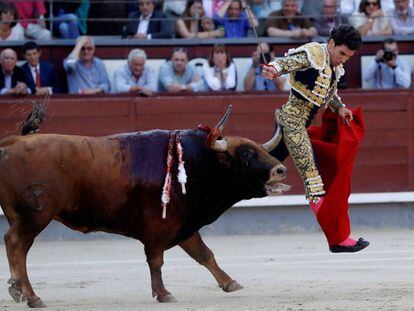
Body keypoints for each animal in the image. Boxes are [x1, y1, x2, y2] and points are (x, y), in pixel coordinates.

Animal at [0, 104, 290, 308]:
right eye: (246, 154)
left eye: (259, 149)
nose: (280, 170)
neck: (197, 163)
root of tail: (13, 142)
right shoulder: (158, 227)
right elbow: (156, 259)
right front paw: (163, 293)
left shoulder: (185, 224)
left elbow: (204, 254)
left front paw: (229, 283)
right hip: (36, 216)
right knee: (16, 243)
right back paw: (28, 295)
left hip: (21, 216)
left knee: (18, 247)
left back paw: (22, 292)